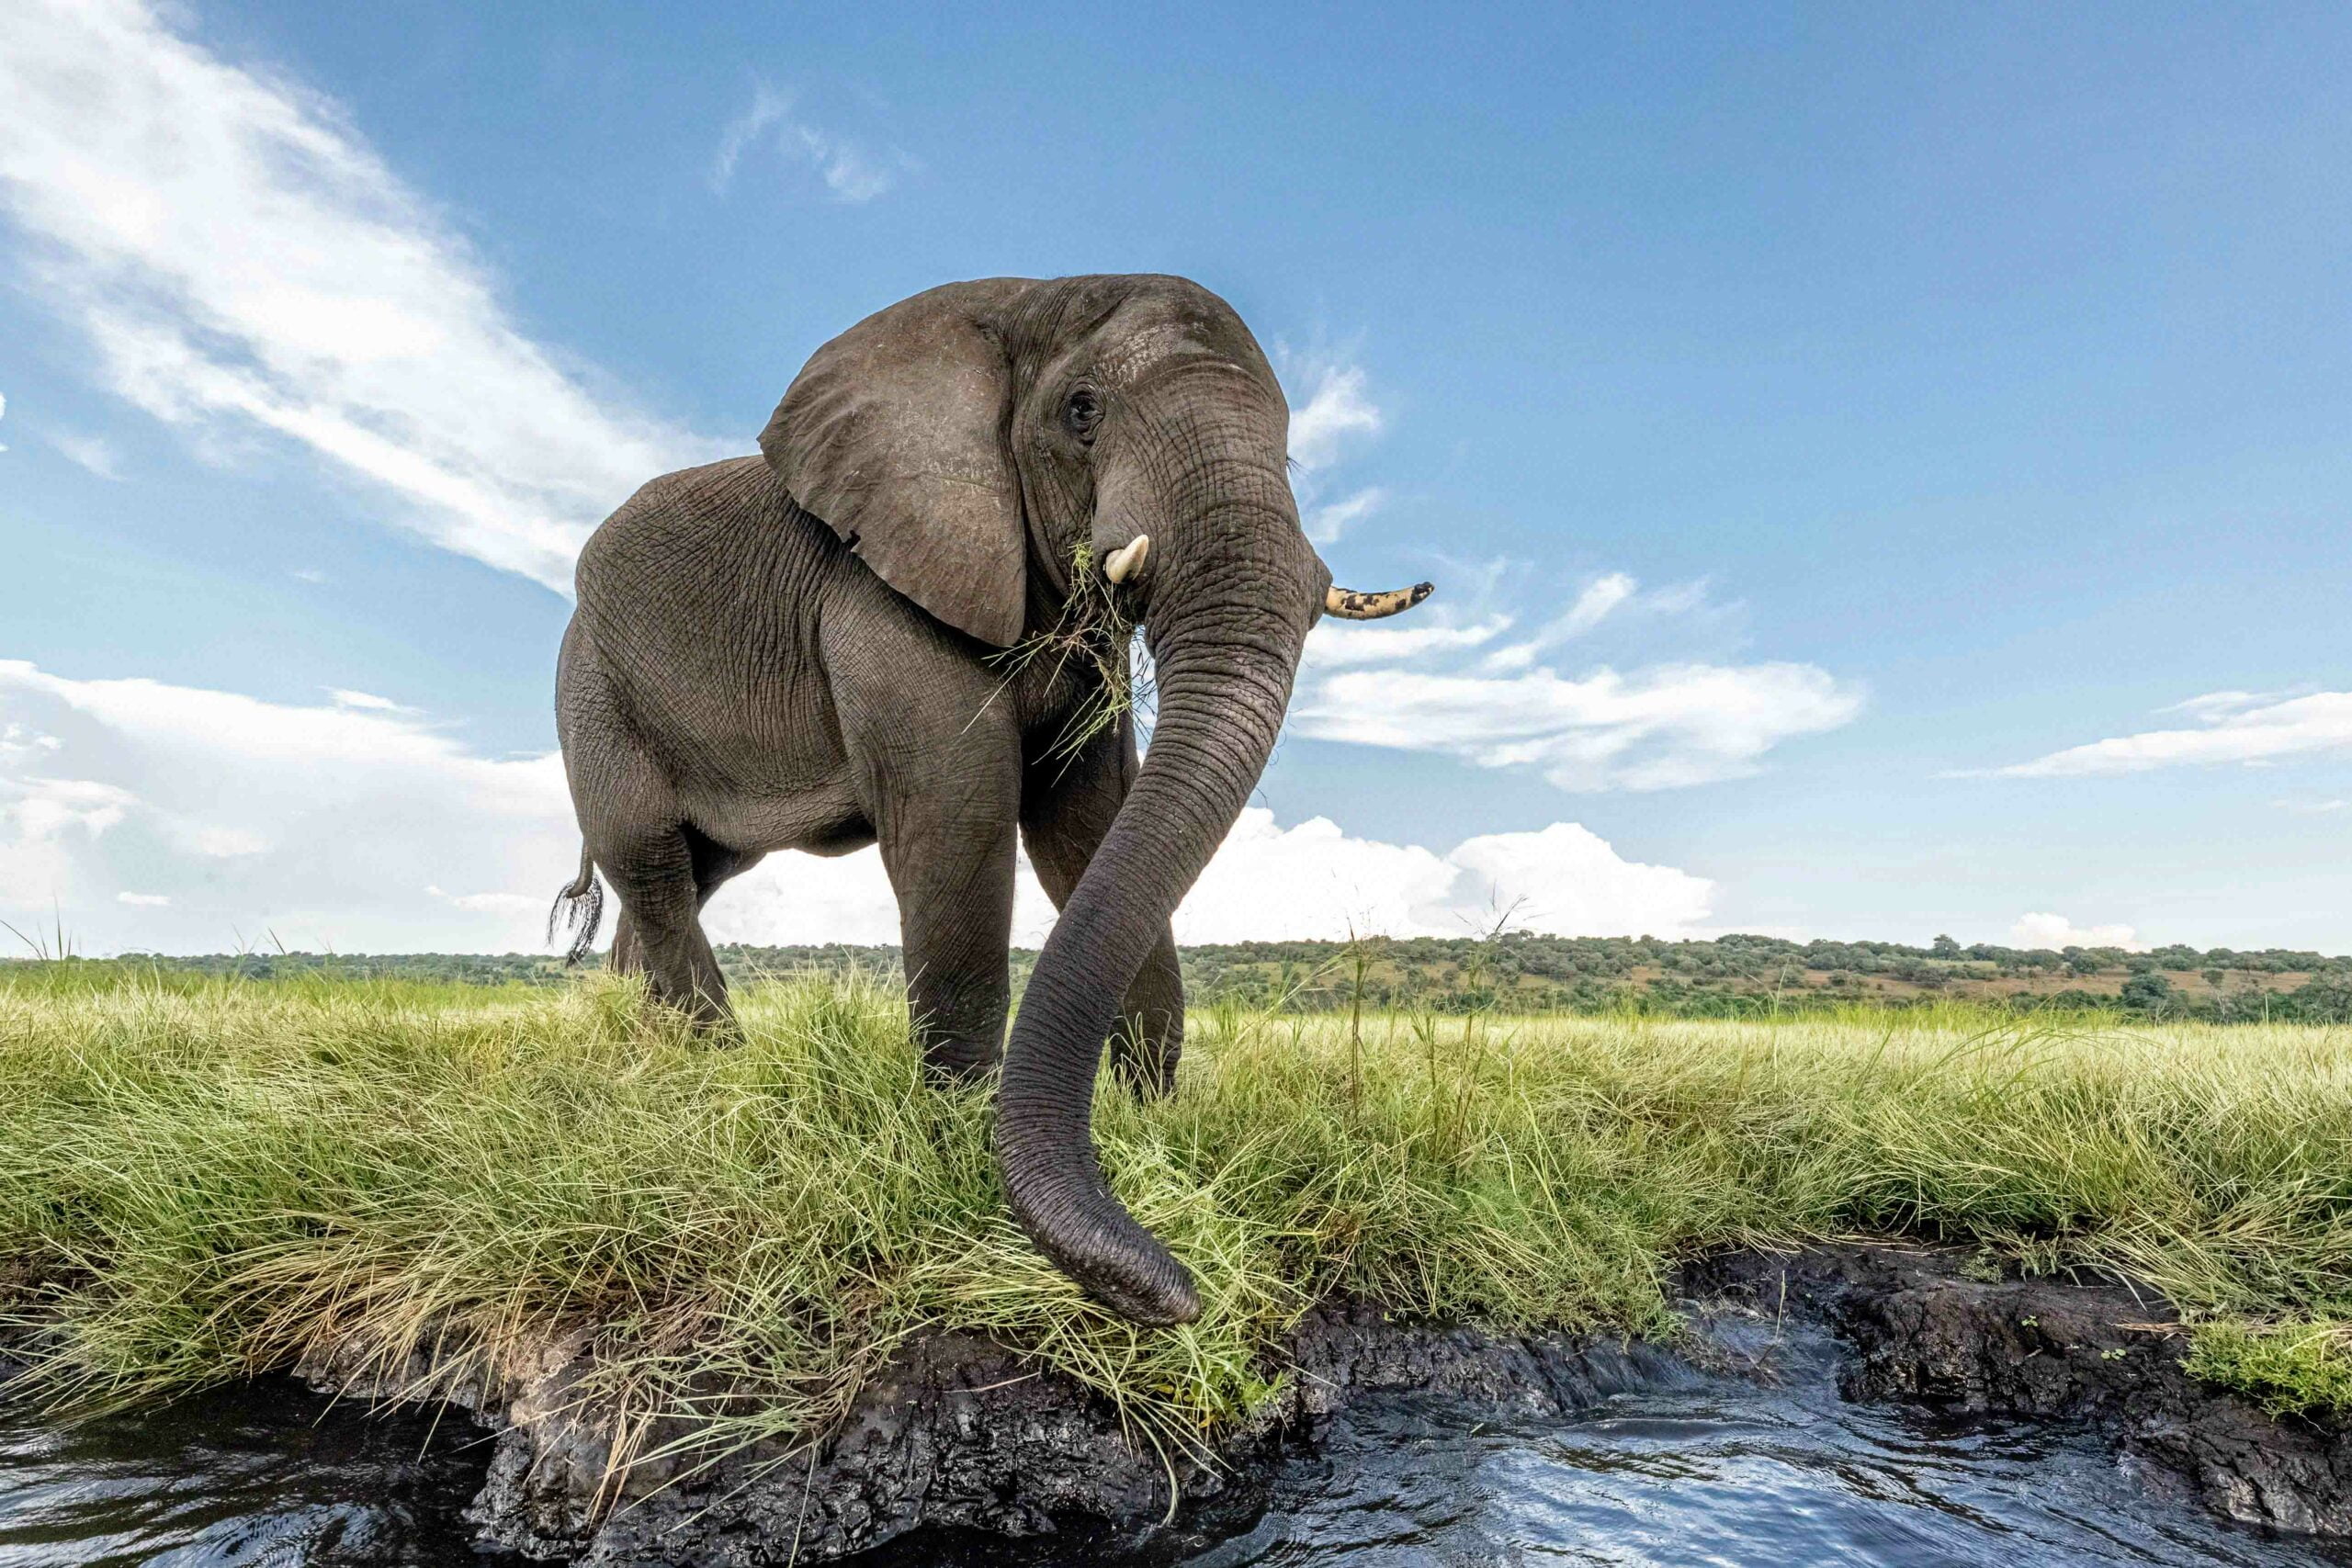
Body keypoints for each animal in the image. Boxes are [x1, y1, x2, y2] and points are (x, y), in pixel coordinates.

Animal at [550, 272, 1430, 1325]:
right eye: (1083, 412)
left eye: (1291, 448)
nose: (1179, 1293)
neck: (1029, 305)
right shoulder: (884, 596)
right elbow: (959, 821)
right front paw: (961, 1158)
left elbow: (1090, 828)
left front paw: (1156, 1124)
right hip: (592, 686)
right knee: (648, 855)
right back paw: (722, 1080)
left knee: (688, 874)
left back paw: (649, 1064)